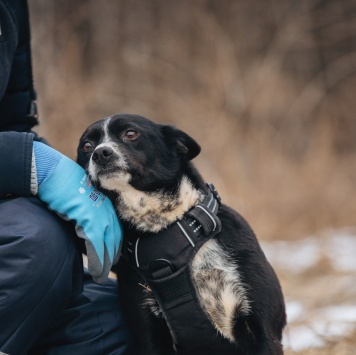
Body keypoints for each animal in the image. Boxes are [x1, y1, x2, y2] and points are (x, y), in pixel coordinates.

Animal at [76, 114, 286, 355]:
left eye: (131, 133)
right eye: (86, 146)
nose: (100, 153)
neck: (168, 230)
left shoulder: (264, 331)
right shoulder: (148, 333)